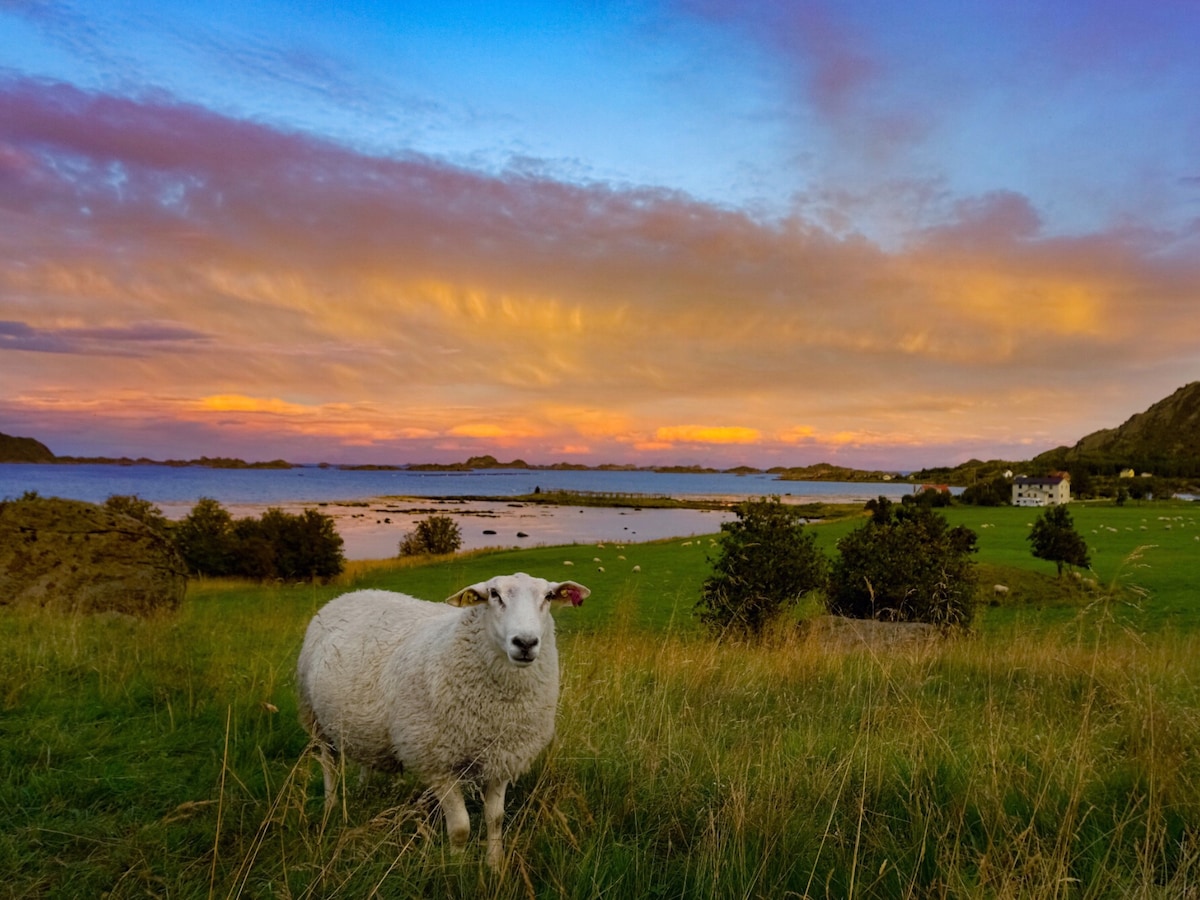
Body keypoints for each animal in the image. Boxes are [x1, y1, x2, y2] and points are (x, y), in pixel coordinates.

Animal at [292, 573, 588, 868]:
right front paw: (455, 866)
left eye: (548, 596)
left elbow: (495, 819)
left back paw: (363, 787)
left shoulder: (503, 757)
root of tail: (352, 594)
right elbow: (460, 827)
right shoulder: (436, 763)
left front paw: (494, 864)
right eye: (494, 594)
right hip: (315, 718)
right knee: (328, 764)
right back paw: (331, 804)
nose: (525, 643)